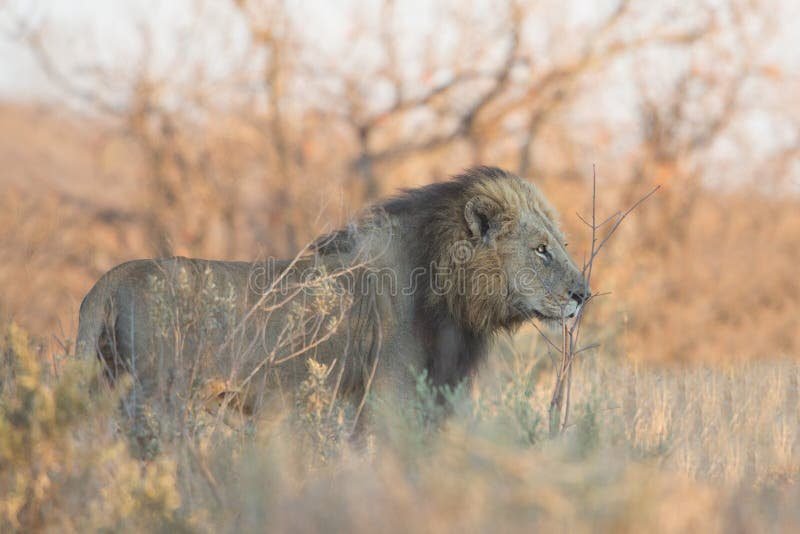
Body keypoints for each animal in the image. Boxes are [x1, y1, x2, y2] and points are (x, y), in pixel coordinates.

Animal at [75, 168, 588, 432]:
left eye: (560, 243)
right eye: (541, 249)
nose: (583, 295)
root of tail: (106, 282)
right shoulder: (385, 400)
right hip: (155, 399)